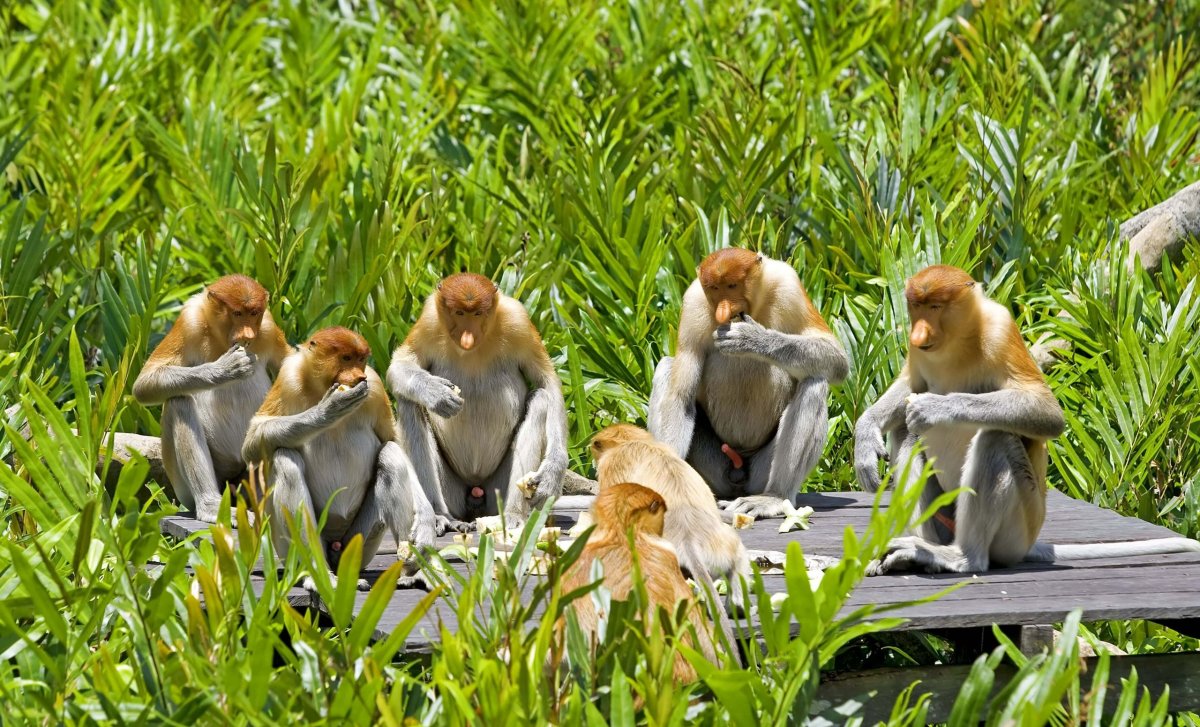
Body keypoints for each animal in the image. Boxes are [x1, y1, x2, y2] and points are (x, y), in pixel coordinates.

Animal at [132, 274, 292, 522]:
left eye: (254, 313)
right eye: (237, 313)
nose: (247, 335)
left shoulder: (268, 327)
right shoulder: (189, 322)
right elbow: (144, 383)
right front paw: (226, 368)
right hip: (184, 488)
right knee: (178, 402)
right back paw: (212, 507)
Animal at [241, 327, 436, 579]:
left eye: (361, 359)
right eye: (346, 358)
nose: (359, 377)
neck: (320, 386)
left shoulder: (374, 384)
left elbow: (392, 440)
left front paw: (426, 526)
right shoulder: (288, 379)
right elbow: (253, 441)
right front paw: (329, 410)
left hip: (359, 543)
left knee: (391, 454)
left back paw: (409, 569)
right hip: (285, 544)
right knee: (285, 458)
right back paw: (317, 574)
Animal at [387, 272, 569, 533]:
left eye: (478, 313)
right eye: (459, 313)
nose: (467, 338)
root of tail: (475, 490)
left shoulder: (519, 320)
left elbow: (548, 382)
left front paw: (552, 475)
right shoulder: (429, 320)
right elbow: (400, 365)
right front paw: (436, 394)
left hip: (496, 491)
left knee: (541, 400)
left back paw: (512, 514)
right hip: (452, 492)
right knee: (409, 402)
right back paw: (440, 515)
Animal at [648, 248, 849, 519]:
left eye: (732, 286)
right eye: (714, 288)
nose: (723, 311)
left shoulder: (789, 285)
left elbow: (836, 358)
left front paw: (751, 338)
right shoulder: (693, 304)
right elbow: (680, 399)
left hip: (760, 473)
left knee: (815, 382)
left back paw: (774, 497)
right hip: (713, 470)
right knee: (666, 368)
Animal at [854, 265, 1200, 574]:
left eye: (936, 307)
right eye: (916, 307)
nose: (918, 334)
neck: (956, 342)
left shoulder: (1000, 330)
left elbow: (1046, 412)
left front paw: (934, 407)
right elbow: (909, 385)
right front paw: (865, 438)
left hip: (1019, 527)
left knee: (994, 437)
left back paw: (960, 558)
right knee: (904, 433)